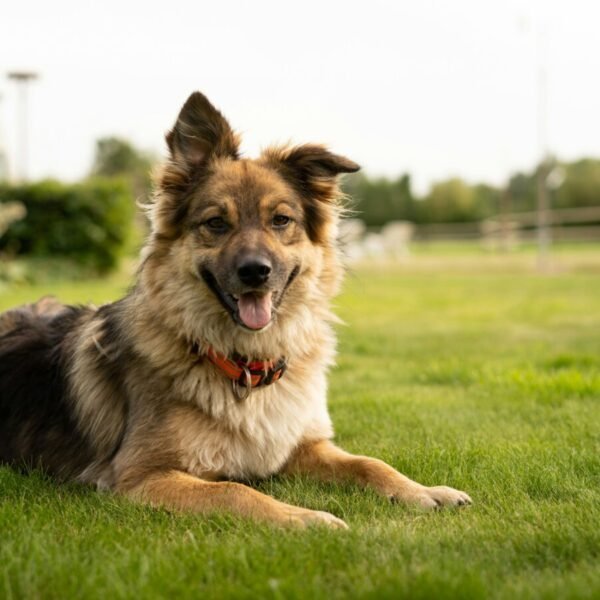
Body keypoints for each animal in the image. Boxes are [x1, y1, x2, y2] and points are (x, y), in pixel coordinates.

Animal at [0, 91, 472, 528]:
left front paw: (424, 491)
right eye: (216, 223)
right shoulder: (140, 475)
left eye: (280, 220)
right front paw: (306, 519)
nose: (255, 272)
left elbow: (369, 463)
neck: (243, 362)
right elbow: (235, 491)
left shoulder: (302, 445)